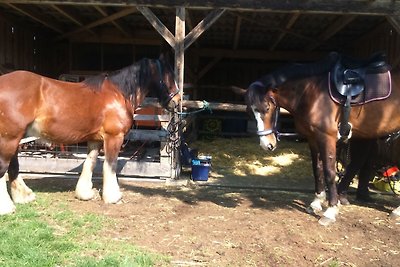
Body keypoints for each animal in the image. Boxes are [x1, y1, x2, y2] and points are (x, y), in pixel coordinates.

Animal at [0, 54, 180, 216]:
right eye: (170, 75)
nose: (177, 101)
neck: (118, 94)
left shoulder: (95, 140)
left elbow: (90, 163)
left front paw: (84, 193)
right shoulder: (114, 137)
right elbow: (110, 165)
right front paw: (113, 196)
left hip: (16, 138)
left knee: (13, 165)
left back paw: (24, 196)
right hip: (9, 139)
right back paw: (7, 207)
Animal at [241, 52, 400, 226]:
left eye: (267, 108)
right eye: (250, 112)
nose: (267, 144)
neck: (311, 92)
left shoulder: (326, 137)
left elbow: (329, 172)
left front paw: (330, 211)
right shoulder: (312, 138)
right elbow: (317, 170)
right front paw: (316, 202)